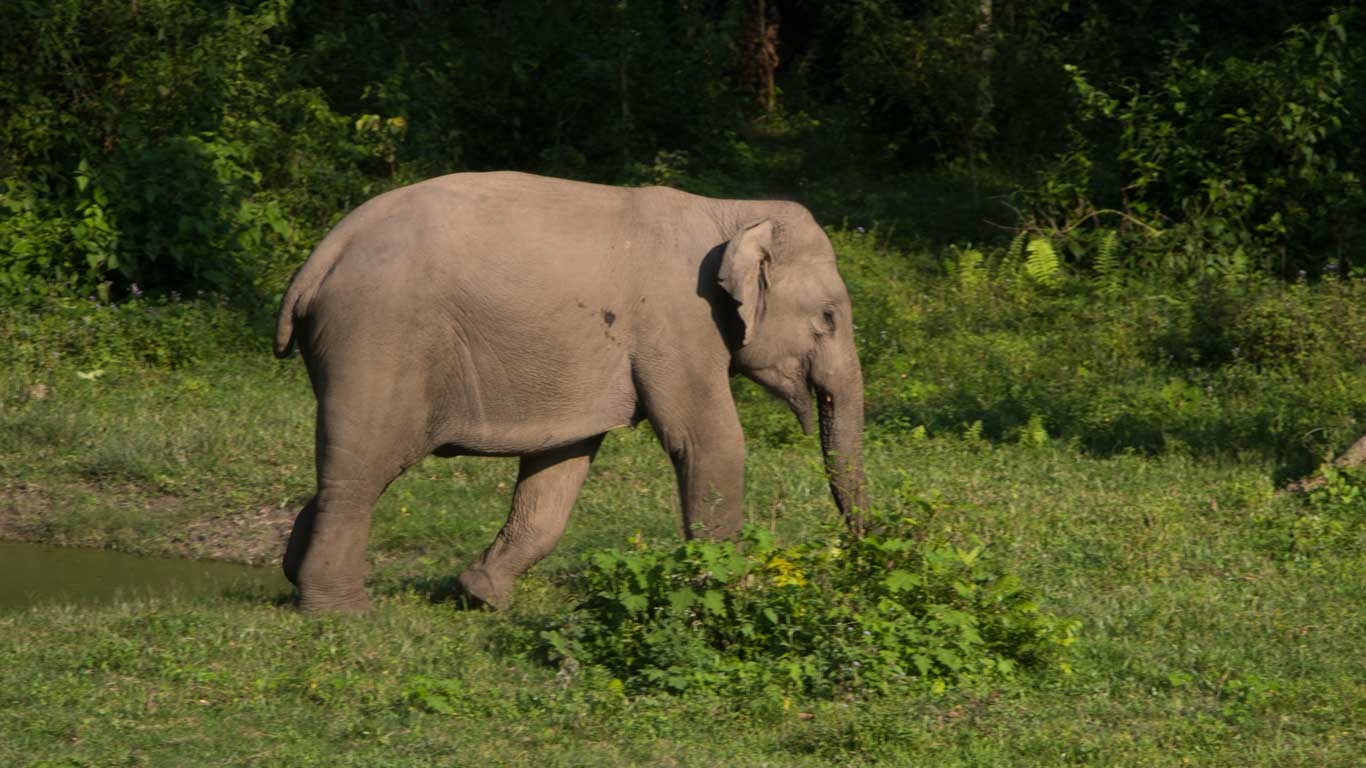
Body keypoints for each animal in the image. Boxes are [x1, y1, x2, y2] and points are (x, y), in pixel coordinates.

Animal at [273, 172, 868, 609]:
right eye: (829, 318)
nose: (861, 553)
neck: (729, 211)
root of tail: (321, 256)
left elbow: (561, 461)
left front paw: (481, 596)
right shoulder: (679, 322)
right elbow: (710, 442)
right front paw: (735, 597)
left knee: (355, 467)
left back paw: (295, 577)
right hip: (376, 340)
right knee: (362, 469)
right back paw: (340, 610)